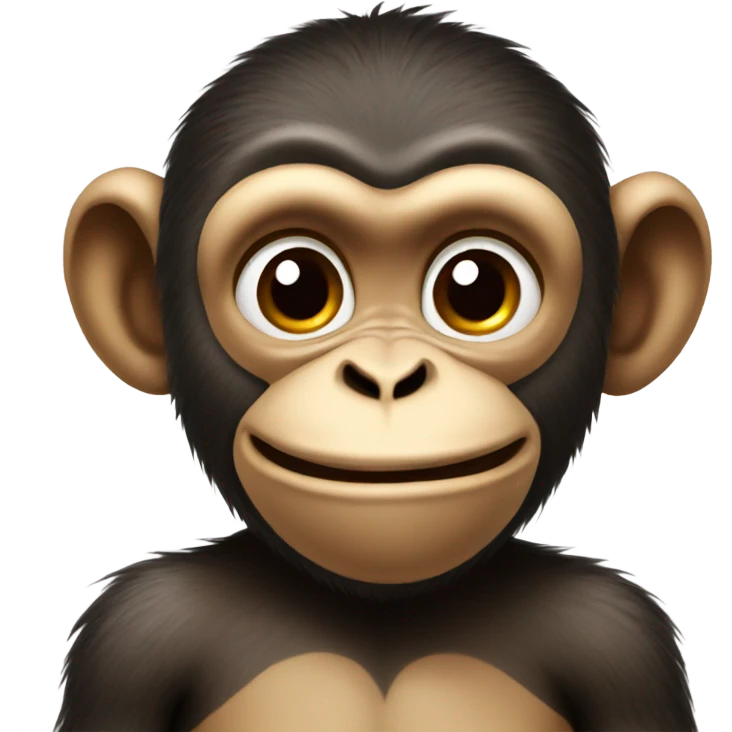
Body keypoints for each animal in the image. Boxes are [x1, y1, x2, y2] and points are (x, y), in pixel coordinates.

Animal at [56, 5, 711, 731]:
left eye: (478, 288)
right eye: (294, 287)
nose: (387, 379)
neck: (382, 615)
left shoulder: (617, 636)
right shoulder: (135, 632)